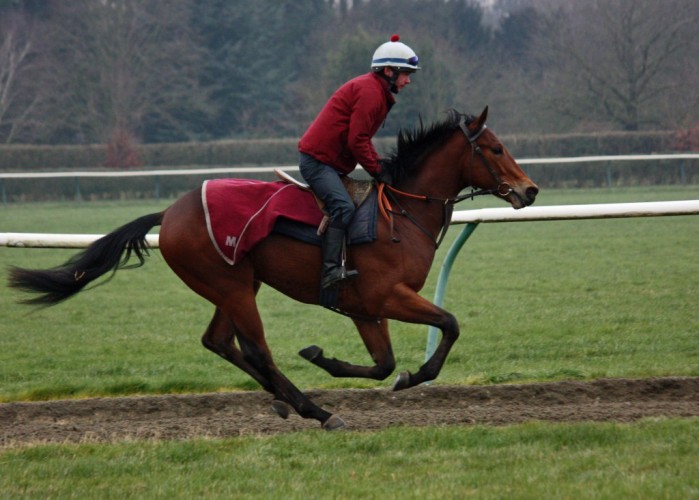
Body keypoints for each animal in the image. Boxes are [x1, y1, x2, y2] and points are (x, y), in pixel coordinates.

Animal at [9, 108, 536, 430]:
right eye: (494, 148)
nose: (529, 190)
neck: (402, 214)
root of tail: (170, 212)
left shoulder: (366, 307)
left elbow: (384, 362)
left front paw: (331, 360)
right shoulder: (387, 295)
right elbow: (448, 324)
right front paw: (411, 375)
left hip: (236, 284)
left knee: (219, 342)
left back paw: (288, 400)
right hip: (232, 286)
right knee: (256, 349)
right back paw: (317, 410)